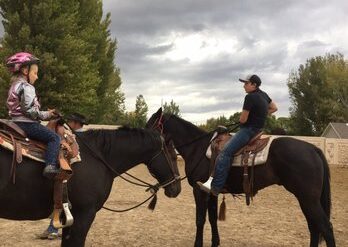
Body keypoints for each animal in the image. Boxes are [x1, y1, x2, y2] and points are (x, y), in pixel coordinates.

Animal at [146, 108, 334, 247]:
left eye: (150, 125)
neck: (197, 147)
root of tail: (313, 149)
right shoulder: (211, 192)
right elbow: (212, 219)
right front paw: (215, 242)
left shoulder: (199, 191)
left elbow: (200, 219)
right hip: (306, 200)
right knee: (314, 228)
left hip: (308, 199)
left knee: (326, 228)